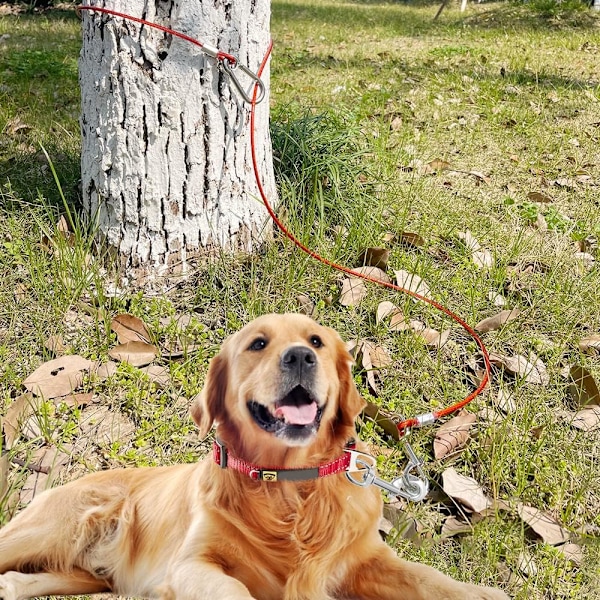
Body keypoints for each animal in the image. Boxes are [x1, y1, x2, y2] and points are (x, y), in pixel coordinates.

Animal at [0, 314, 508, 600]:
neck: (290, 486)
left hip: (84, 574)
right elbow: (233, 589)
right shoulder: (193, 565)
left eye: (317, 341)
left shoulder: (365, 559)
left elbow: (434, 582)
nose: (300, 356)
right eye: (258, 344)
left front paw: (484, 593)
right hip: (50, 530)